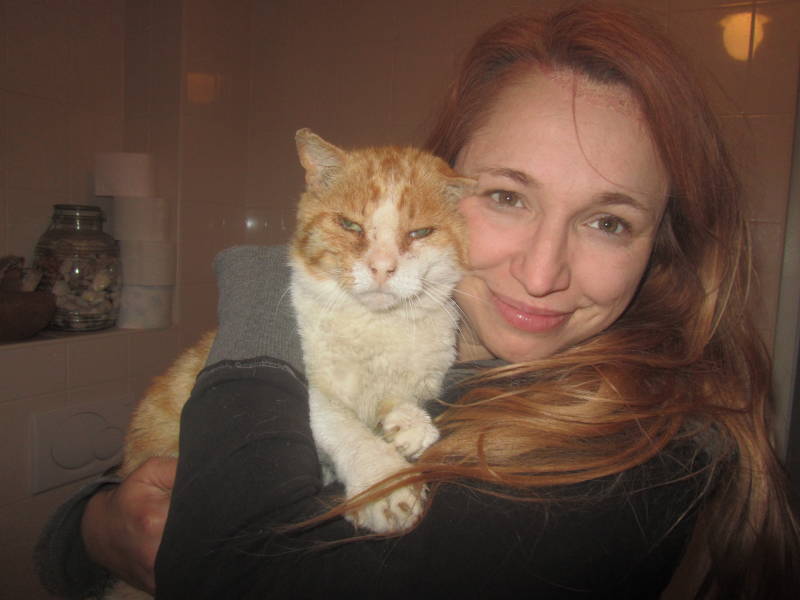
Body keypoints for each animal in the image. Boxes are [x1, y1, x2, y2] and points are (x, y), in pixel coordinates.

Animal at [109, 129, 472, 598]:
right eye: (350, 225)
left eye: (421, 232)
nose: (381, 267)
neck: (375, 326)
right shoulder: (312, 392)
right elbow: (347, 428)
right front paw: (383, 484)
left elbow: (400, 395)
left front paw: (408, 423)